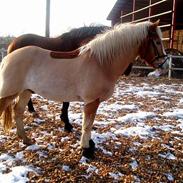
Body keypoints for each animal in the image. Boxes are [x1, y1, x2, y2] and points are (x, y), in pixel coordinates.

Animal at [0, 19, 166, 157]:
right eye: (157, 42)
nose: (163, 64)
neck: (100, 63)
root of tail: (7, 57)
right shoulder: (92, 101)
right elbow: (87, 125)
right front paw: (86, 149)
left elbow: (89, 124)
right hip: (9, 93)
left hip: (25, 91)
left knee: (18, 111)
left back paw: (25, 139)